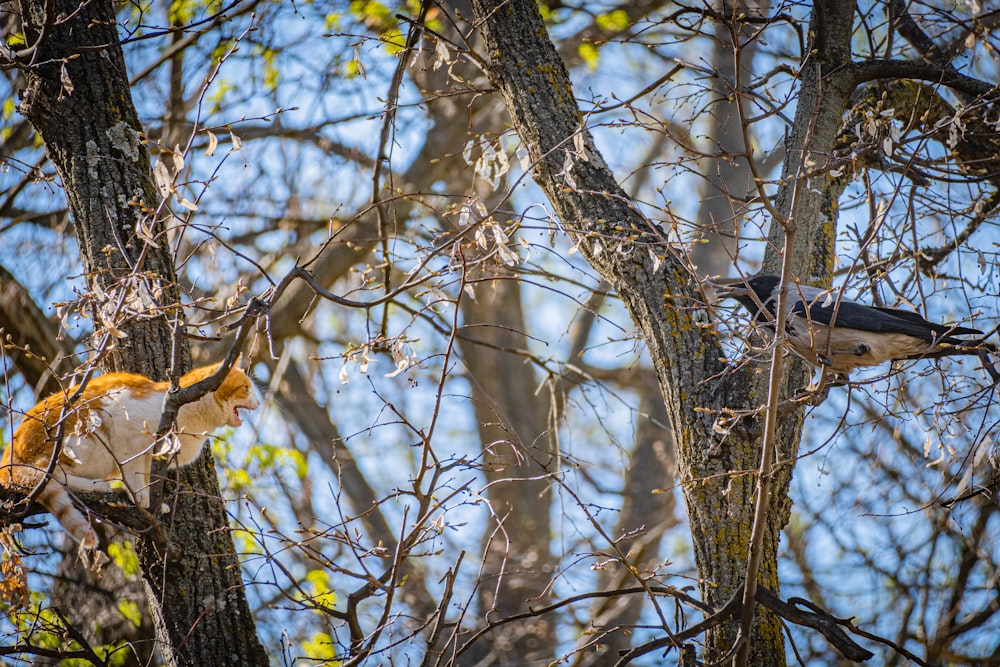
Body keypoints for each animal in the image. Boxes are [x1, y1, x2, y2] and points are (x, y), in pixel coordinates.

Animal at [0, 362, 258, 556]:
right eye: (246, 388)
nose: (258, 402)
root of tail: (6, 460)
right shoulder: (128, 434)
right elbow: (133, 472)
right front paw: (140, 498)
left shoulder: (149, 458)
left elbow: (144, 476)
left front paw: (150, 500)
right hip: (82, 437)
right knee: (50, 474)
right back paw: (98, 486)